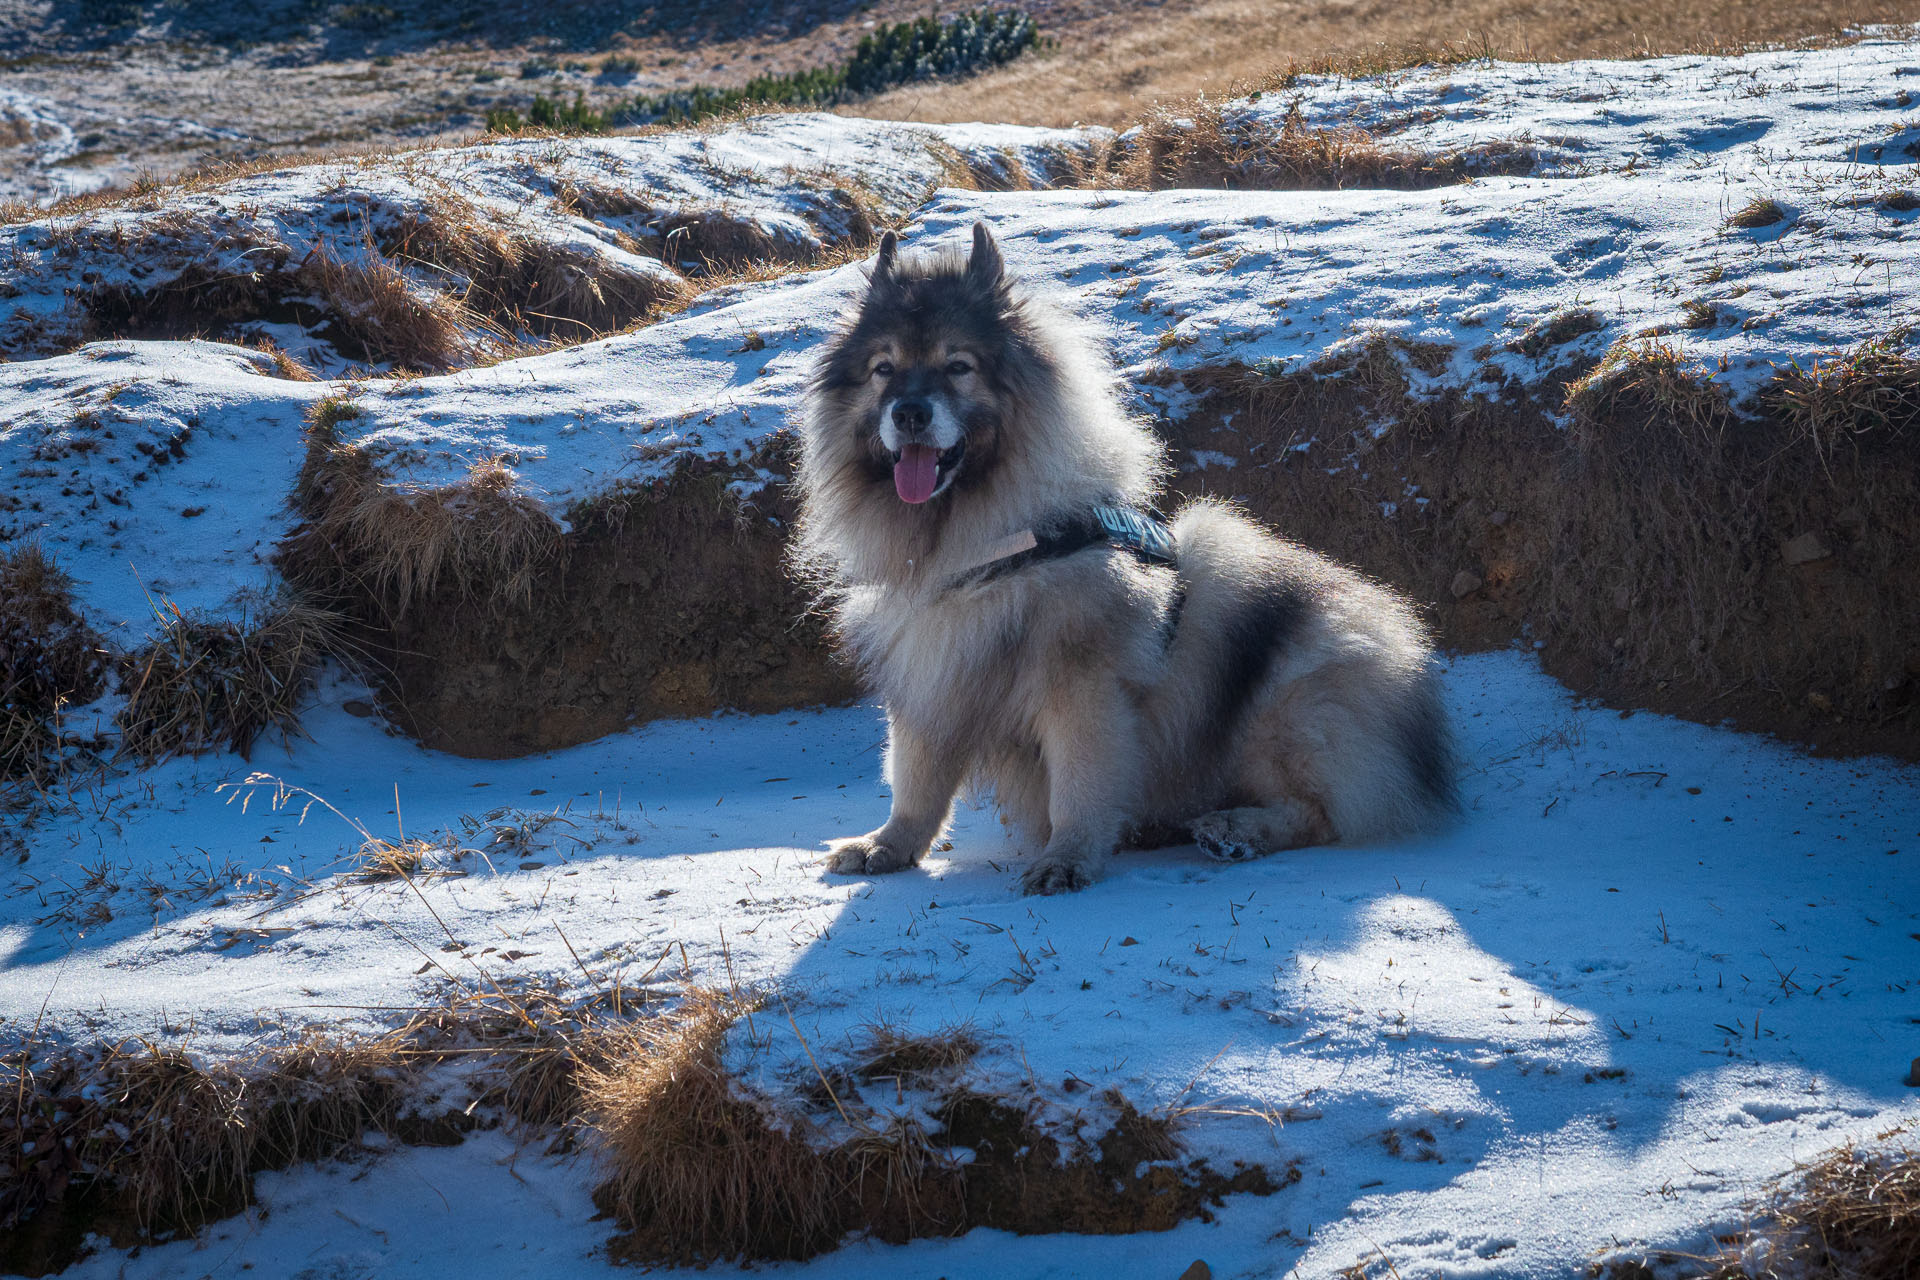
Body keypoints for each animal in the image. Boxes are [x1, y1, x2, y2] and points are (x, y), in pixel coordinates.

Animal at [787, 220, 1443, 898]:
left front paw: (1068, 857)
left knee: (1320, 810)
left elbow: (1078, 787)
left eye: (958, 366)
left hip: (1281, 701)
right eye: (883, 369)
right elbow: (915, 782)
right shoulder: (932, 677)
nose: (910, 412)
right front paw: (888, 845)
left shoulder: (1082, 688)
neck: (983, 549)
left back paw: (1235, 829)